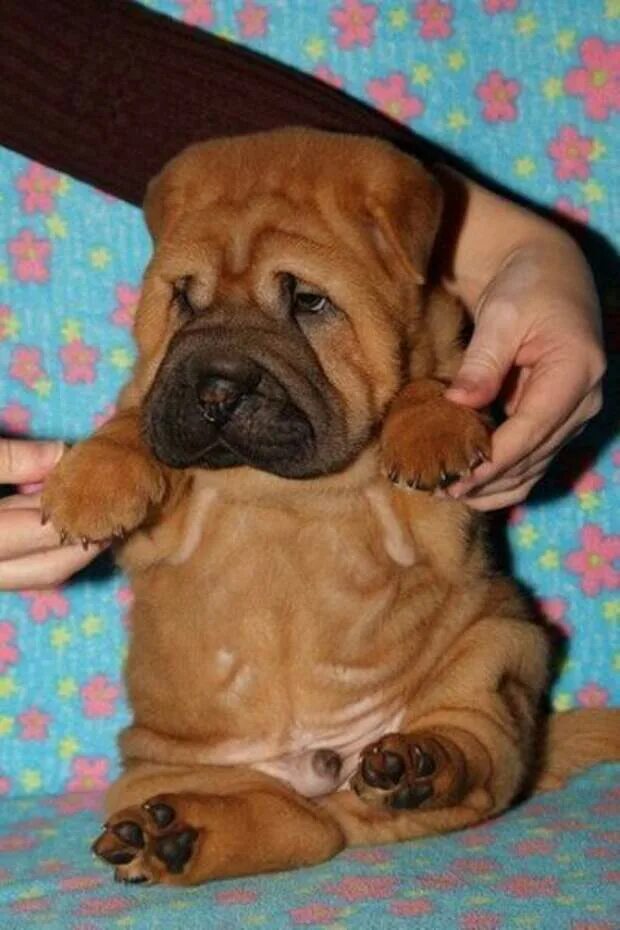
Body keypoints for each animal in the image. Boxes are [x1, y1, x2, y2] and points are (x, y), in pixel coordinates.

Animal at [41, 128, 619, 886]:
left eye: (309, 303)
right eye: (184, 300)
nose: (216, 387)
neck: (275, 483)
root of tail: (325, 772)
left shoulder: (434, 514)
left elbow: (426, 386)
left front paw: (430, 428)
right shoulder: (165, 508)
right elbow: (135, 418)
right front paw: (88, 483)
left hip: (499, 647)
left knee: (473, 761)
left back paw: (417, 765)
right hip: (158, 767)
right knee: (289, 825)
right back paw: (174, 834)